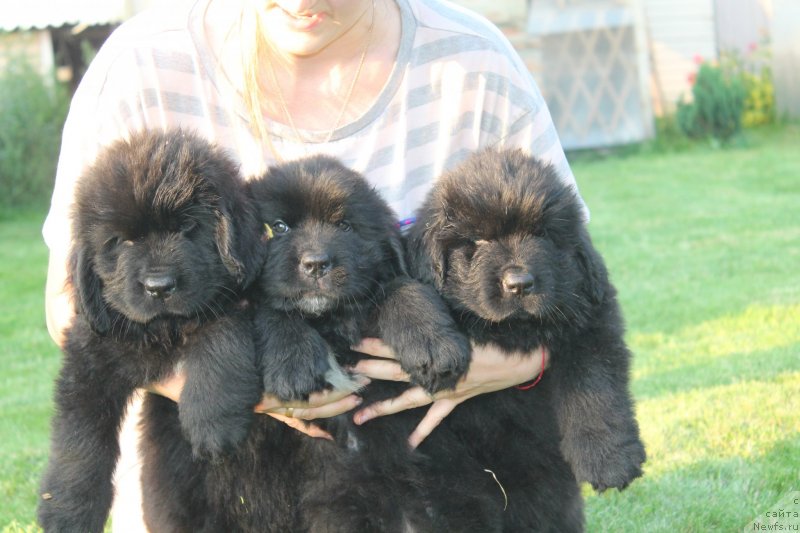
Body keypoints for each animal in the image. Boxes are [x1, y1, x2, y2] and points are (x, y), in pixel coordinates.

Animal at [37, 130, 262, 532]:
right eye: (120, 241)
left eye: (187, 228)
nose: (159, 286)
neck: (163, 332)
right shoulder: (89, 356)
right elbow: (78, 438)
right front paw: (66, 510)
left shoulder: (240, 298)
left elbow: (219, 332)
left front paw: (211, 422)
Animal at [410, 148, 648, 528]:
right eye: (477, 241)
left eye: (542, 235)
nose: (519, 284)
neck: (514, 332)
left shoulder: (592, 321)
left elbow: (593, 386)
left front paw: (610, 462)